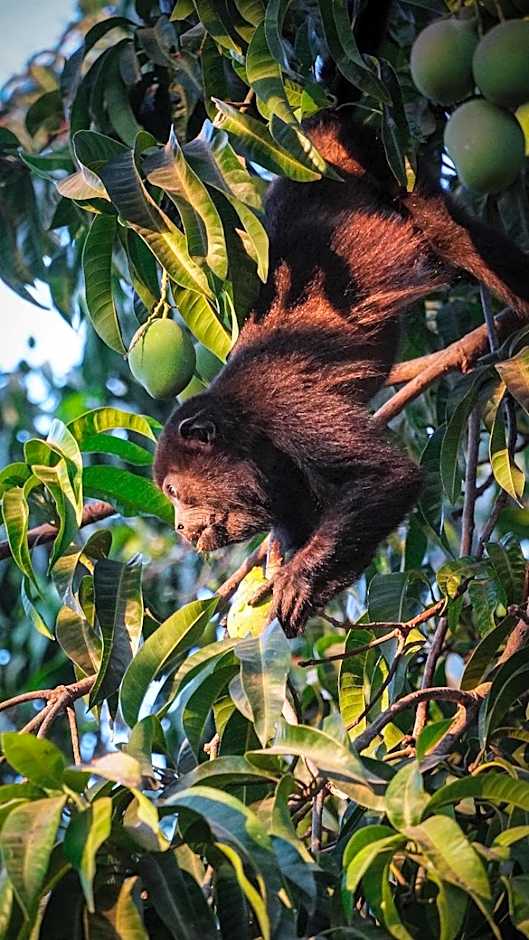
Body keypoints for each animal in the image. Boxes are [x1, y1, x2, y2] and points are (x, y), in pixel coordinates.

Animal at [154, 25, 529, 638]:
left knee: (447, 228)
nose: (182, 528)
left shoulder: (290, 408)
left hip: (377, 153)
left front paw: (298, 579)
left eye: (173, 490)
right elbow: (299, 516)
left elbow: (387, 477)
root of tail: (316, 127)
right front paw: (294, 565)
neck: (243, 423)